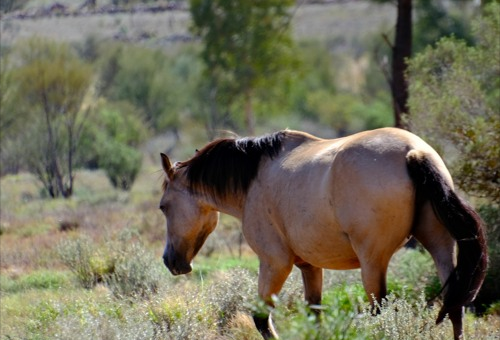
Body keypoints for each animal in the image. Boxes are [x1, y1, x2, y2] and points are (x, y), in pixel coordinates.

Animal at [159, 128, 488, 340]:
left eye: (163, 206)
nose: (169, 262)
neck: (253, 178)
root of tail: (414, 152)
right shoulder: (309, 267)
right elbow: (314, 316)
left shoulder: (275, 263)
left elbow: (262, 320)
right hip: (440, 245)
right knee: (454, 305)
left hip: (373, 262)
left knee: (380, 310)